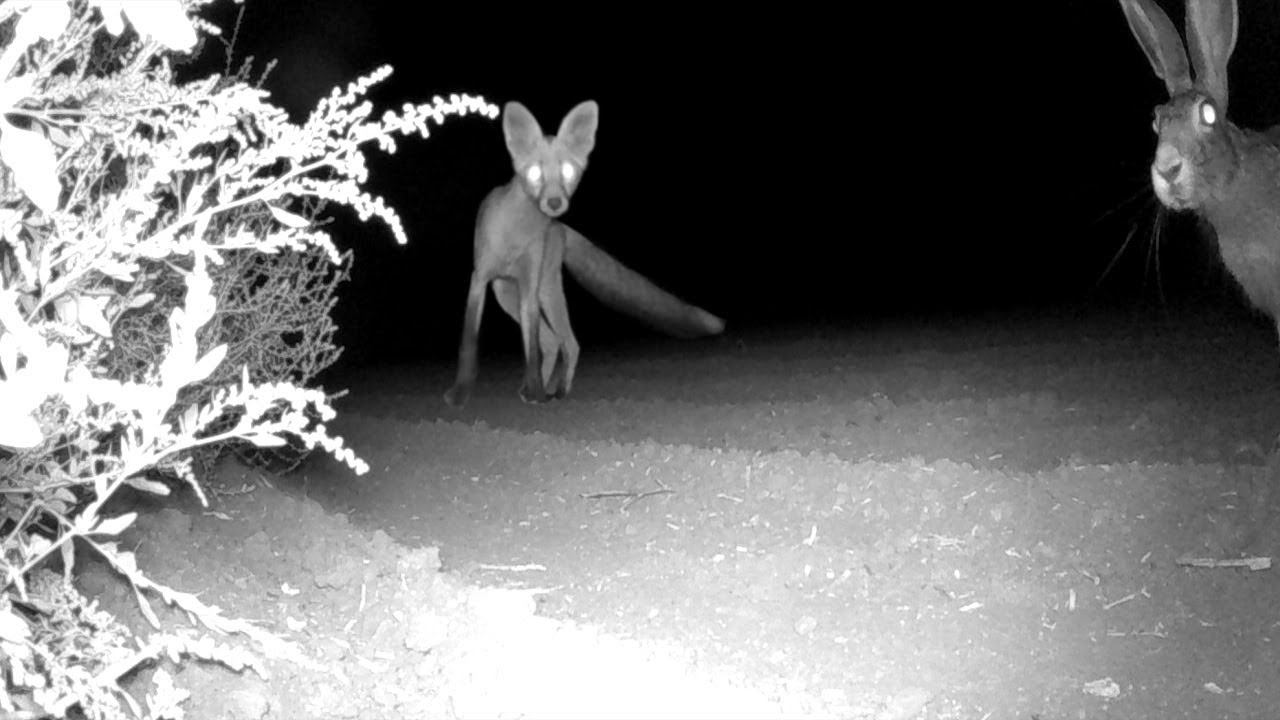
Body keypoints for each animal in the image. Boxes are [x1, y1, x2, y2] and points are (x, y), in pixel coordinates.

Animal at [443, 100, 725, 407]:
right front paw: (459, 395)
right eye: (534, 173)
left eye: (567, 171)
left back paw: (553, 390)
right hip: (506, 295)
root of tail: (560, 227)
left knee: (565, 342)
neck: (516, 235)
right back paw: (539, 389)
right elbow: (469, 343)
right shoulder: (479, 279)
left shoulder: (529, 288)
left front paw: (537, 391)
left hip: (544, 291)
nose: (555, 203)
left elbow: (532, 352)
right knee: (553, 341)